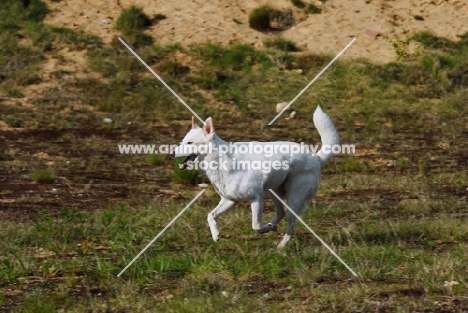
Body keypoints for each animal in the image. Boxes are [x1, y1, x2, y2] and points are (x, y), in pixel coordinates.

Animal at [172, 106, 340, 247]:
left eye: (190, 143)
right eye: (182, 142)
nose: (172, 153)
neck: (222, 162)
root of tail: (315, 158)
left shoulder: (256, 199)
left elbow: (256, 225)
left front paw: (264, 229)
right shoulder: (230, 200)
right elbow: (210, 216)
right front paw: (215, 234)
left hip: (294, 198)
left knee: (290, 224)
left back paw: (281, 246)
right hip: (274, 193)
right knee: (281, 213)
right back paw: (273, 227)